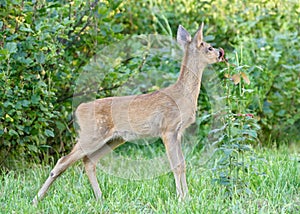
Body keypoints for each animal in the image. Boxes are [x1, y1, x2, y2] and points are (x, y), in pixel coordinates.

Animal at [32, 23, 225, 204]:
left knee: (88, 161)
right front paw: (180, 198)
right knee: (63, 161)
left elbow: (183, 164)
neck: (183, 94)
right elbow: (176, 166)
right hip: (92, 134)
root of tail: (80, 109)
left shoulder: (178, 132)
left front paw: (188, 197)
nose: (220, 53)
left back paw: (100, 198)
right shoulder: (168, 128)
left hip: (114, 139)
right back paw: (36, 199)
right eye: (208, 47)